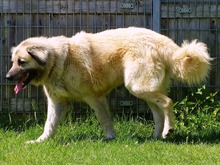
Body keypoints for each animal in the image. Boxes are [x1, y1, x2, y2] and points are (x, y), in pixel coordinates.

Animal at [6, 27, 211, 143]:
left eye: (21, 62)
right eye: (13, 61)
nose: (8, 77)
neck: (57, 60)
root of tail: (161, 41)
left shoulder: (94, 97)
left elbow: (104, 118)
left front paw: (110, 137)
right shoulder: (58, 102)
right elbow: (49, 125)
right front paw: (40, 141)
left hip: (138, 86)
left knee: (167, 102)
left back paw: (168, 131)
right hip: (144, 89)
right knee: (158, 112)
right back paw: (157, 137)